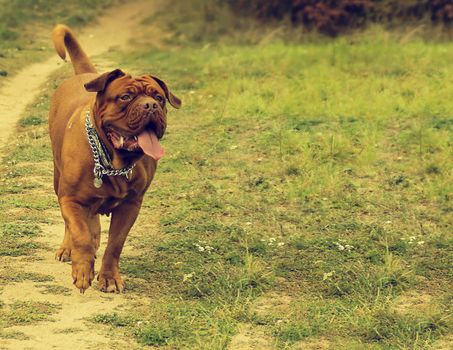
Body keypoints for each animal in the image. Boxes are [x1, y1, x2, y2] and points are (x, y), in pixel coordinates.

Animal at [47, 23, 178, 292]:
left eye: (159, 97)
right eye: (125, 97)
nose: (151, 106)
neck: (115, 162)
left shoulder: (131, 205)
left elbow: (115, 244)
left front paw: (108, 277)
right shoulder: (70, 199)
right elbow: (80, 235)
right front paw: (82, 269)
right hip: (58, 180)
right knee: (72, 225)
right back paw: (68, 248)